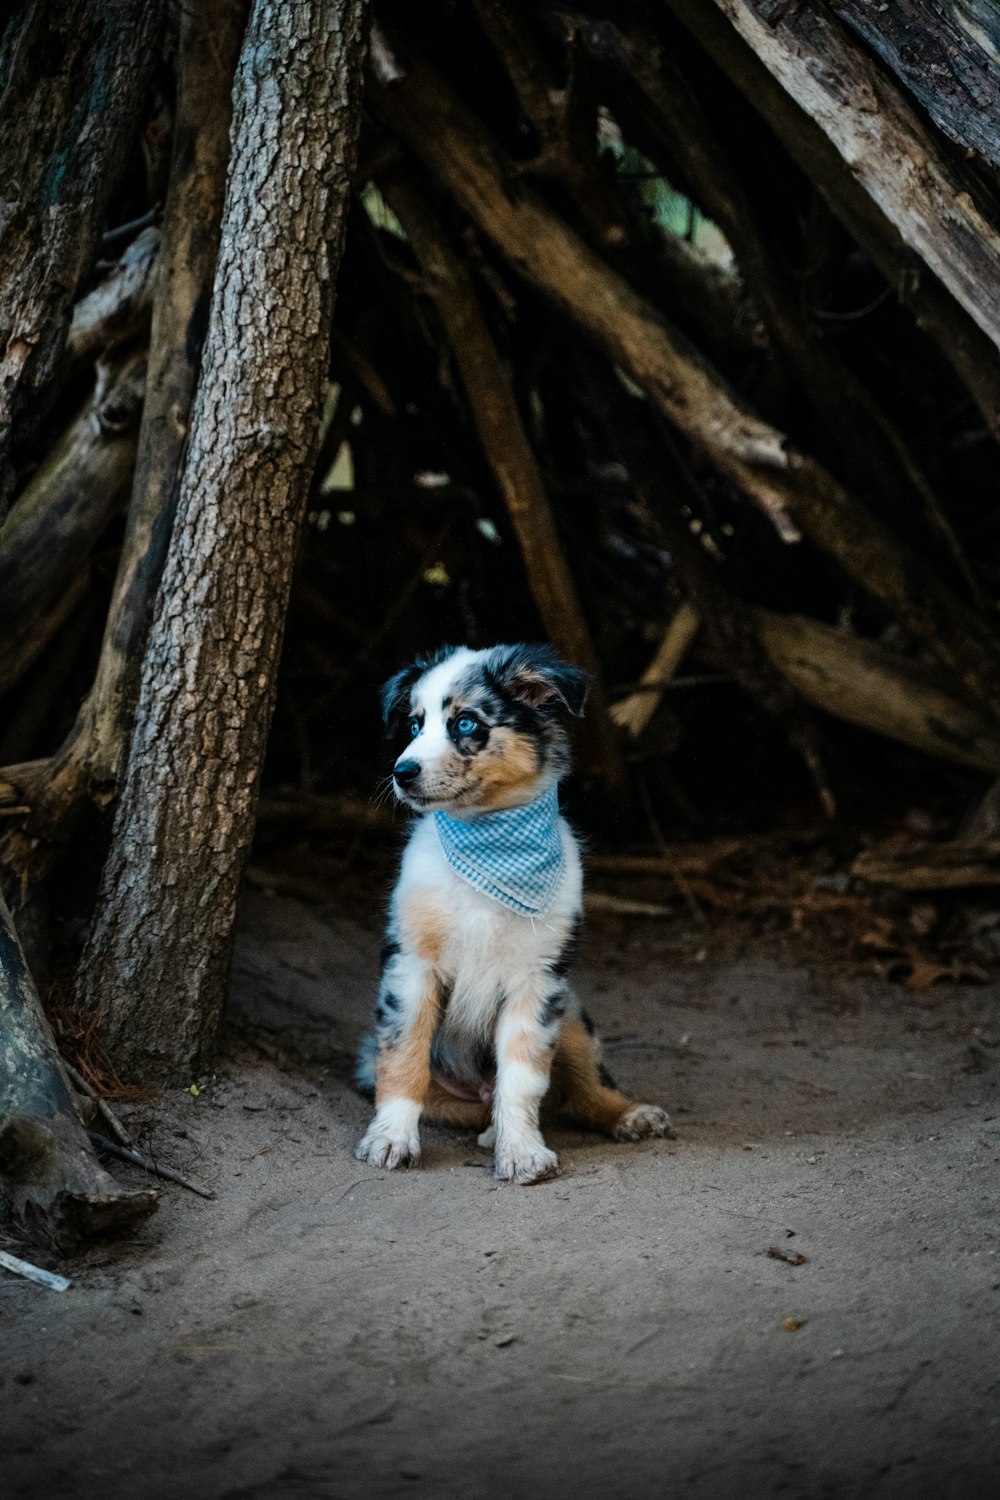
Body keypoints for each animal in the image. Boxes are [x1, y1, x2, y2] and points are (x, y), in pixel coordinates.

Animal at [355, 645, 677, 1182]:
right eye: (415, 724)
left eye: (465, 723)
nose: (402, 772)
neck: (490, 843)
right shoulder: (412, 966)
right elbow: (403, 1059)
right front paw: (391, 1139)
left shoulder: (537, 978)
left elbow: (523, 1078)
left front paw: (522, 1151)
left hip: (572, 1016)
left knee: (584, 1089)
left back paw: (629, 1114)